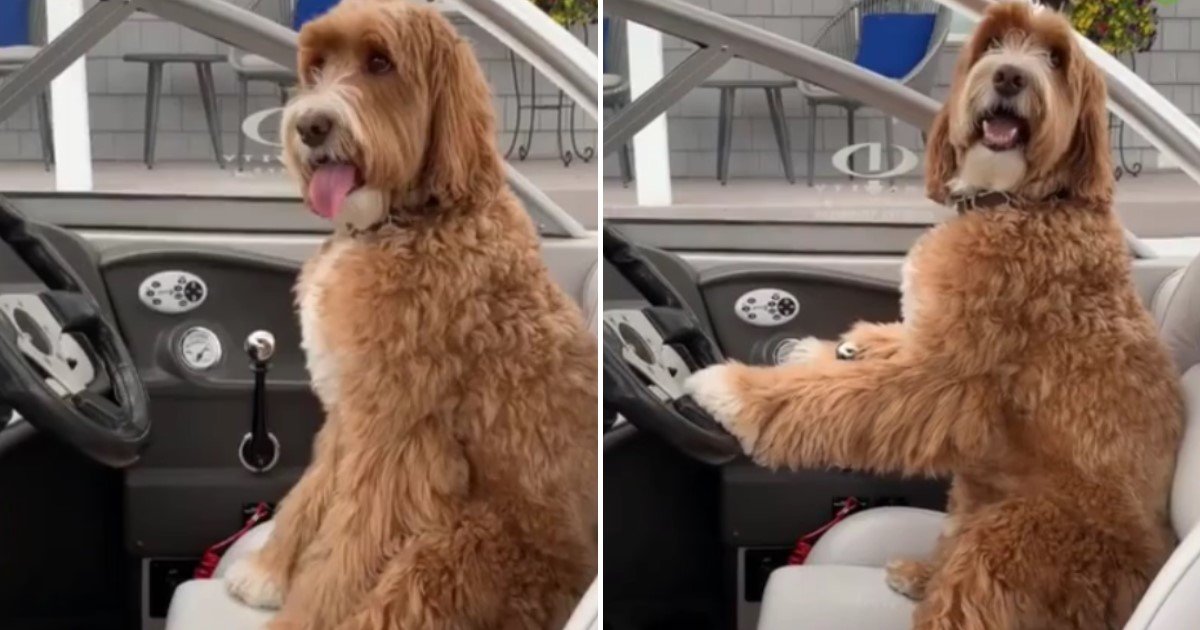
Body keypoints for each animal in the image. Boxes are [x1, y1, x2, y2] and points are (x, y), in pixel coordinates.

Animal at [220, 2, 595, 624]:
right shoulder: (350, 411)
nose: (311, 126)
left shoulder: (396, 438)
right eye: (316, 66)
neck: (407, 221)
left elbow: (345, 548)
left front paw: (301, 616)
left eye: (380, 63)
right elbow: (312, 491)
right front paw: (268, 571)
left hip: (456, 549)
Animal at [696, 2, 1180, 624]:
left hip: (1014, 535)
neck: (1017, 204)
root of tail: (1147, 574)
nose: (1009, 76)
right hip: (974, 491)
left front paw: (736, 390)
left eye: (1054, 58)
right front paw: (828, 348)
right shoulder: (931, 337)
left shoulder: (945, 376)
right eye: (994, 43)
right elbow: (883, 345)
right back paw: (922, 573)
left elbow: (842, 392)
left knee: (967, 592)